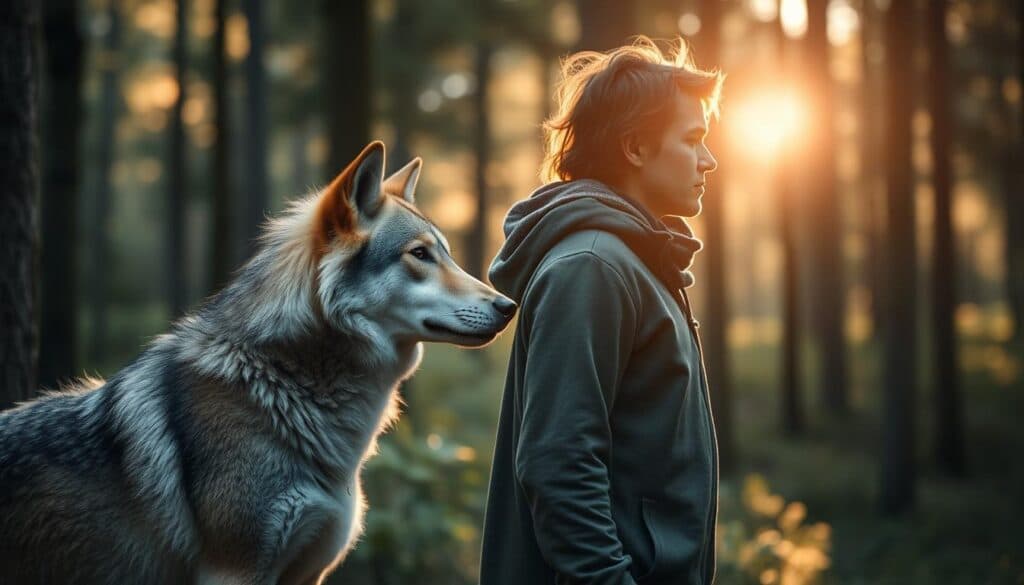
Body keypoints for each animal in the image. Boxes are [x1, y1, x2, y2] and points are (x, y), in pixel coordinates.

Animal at [0, 141, 516, 584]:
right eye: (420, 254)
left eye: (446, 253)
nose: (509, 306)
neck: (282, 385)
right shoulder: (236, 571)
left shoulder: (308, 572)